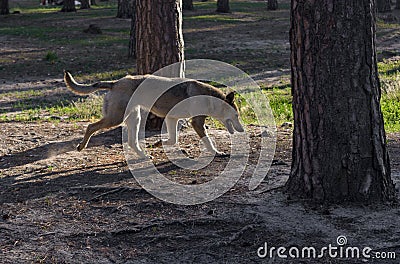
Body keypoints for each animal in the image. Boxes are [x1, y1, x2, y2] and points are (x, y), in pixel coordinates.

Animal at [63, 70, 244, 159]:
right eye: (236, 115)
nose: (242, 130)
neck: (208, 97)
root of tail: (115, 83)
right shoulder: (196, 123)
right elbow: (208, 142)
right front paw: (218, 153)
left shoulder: (172, 119)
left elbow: (172, 139)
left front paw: (157, 143)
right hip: (116, 118)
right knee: (91, 126)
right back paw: (81, 146)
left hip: (134, 118)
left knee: (132, 142)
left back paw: (143, 155)